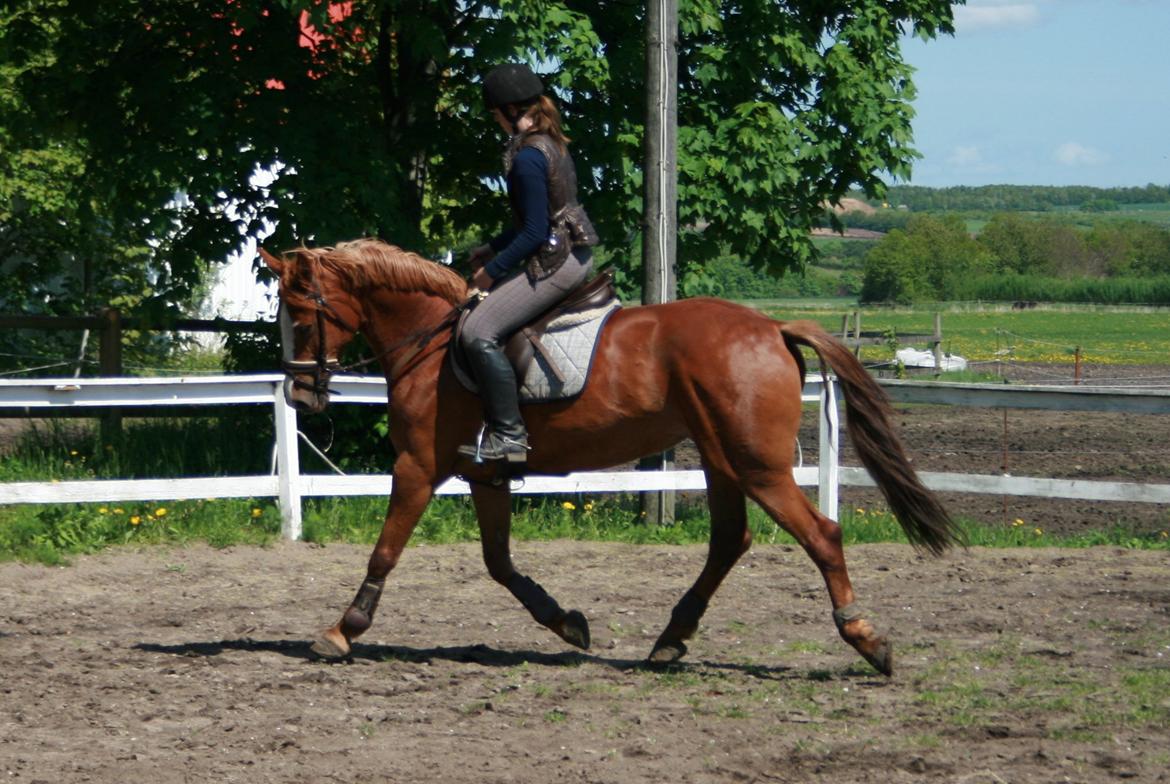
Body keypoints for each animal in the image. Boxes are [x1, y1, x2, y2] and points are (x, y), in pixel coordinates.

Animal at [263, 237, 959, 674]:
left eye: (297, 312)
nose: (300, 394)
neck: (431, 346)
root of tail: (770, 327)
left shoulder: (416, 467)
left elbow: (384, 549)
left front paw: (342, 630)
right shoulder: (486, 473)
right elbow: (499, 563)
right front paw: (567, 622)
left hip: (756, 464)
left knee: (821, 534)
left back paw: (867, 639)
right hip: (721, 459)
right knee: (729, 541)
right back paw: (670, 642)